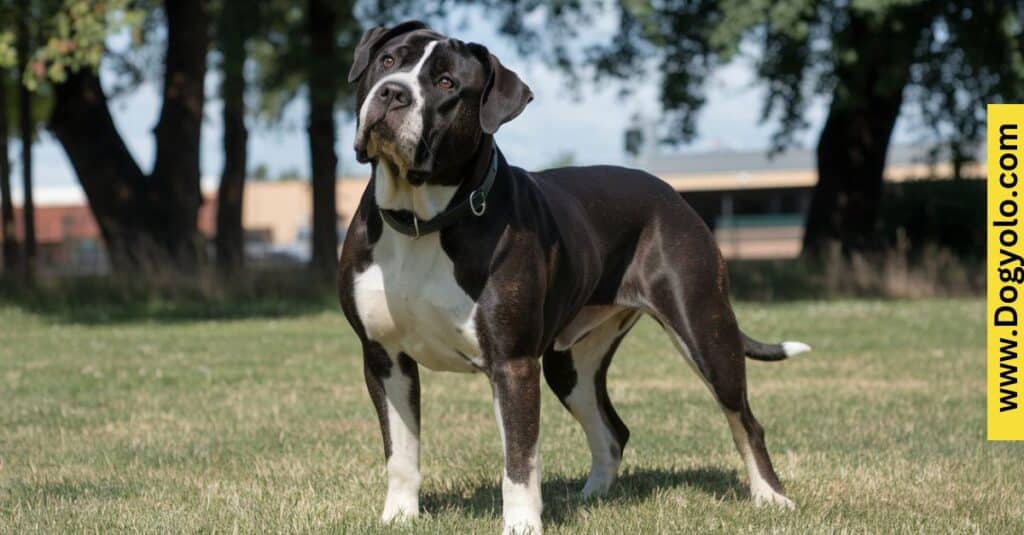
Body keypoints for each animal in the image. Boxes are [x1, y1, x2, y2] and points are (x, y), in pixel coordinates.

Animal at [339, 20, 811, 532]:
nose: (393, 93)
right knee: (612, 430)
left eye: (446, 84)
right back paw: (593, 497)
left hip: (705, 330)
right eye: (389, 61)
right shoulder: (384, 357)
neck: (422, 220)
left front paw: (521, 524)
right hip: (570, 365)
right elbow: (401, 452)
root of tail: (673, 195)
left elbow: (519, 459)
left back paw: (771, 498)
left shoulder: (512, 363)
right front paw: (398, 518)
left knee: (744, 419)